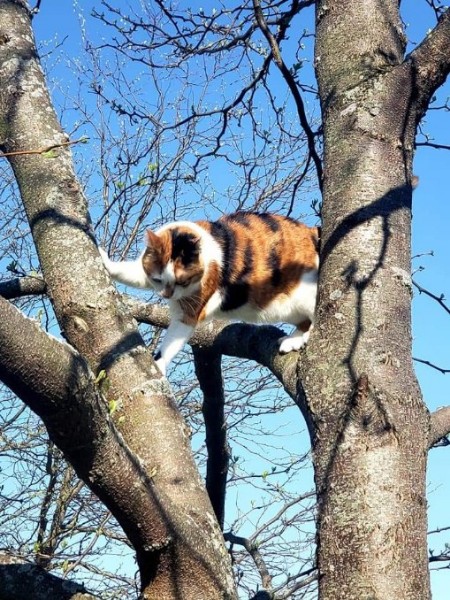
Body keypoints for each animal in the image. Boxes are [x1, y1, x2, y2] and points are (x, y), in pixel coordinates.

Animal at [100, 212, 322, 376]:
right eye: (157, 279)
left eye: (182, 282)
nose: (167, 295)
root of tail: (313, 231)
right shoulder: (145, 274)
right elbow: (133, 274)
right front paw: (105, 261)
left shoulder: (190, 311)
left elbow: (172, 341)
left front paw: (159, 365)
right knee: (303, 321)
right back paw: (293, 338)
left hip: (304, 294)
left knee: (315, 318)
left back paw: (301, 338)